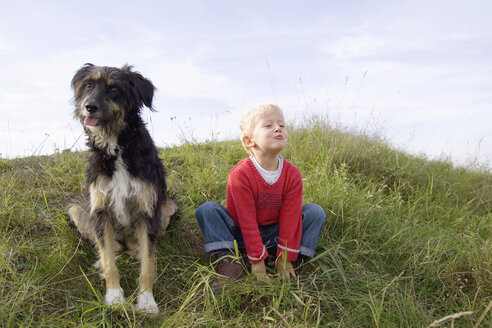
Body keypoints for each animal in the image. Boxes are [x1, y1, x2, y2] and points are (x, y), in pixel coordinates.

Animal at [67, 62, 177, 314]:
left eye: (114, 89)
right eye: (88, 85)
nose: (89, 107)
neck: (117, 147)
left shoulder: (148, 210)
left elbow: (148, 263)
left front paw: (146, 300)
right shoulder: (100, 210)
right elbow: (109, 261)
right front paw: (115, 297)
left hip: (168, 206)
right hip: (77, 210)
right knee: (111, 248)